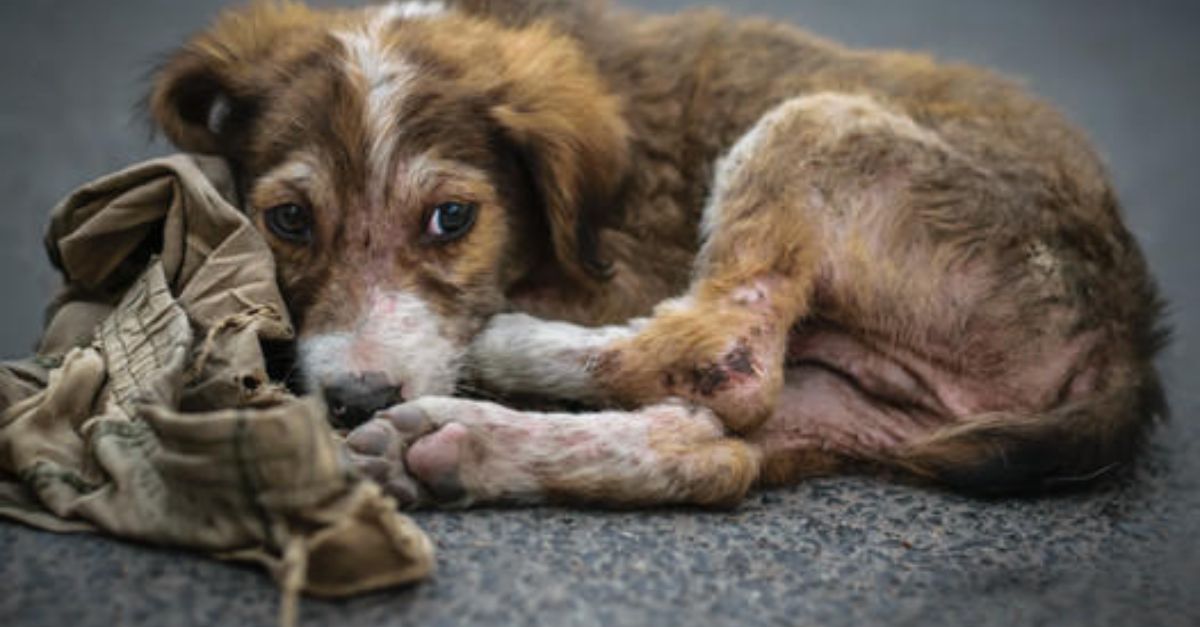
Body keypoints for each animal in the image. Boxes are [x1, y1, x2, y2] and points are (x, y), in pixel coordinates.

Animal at [147, 0, 1161, 504]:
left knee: (723, 352)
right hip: (852, 400)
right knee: (712, 449)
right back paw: (459, 447)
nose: (356, 396)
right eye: (288, 221)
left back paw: (505, 356)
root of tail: (1125, 343)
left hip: (813, 125)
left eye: (450, 219)